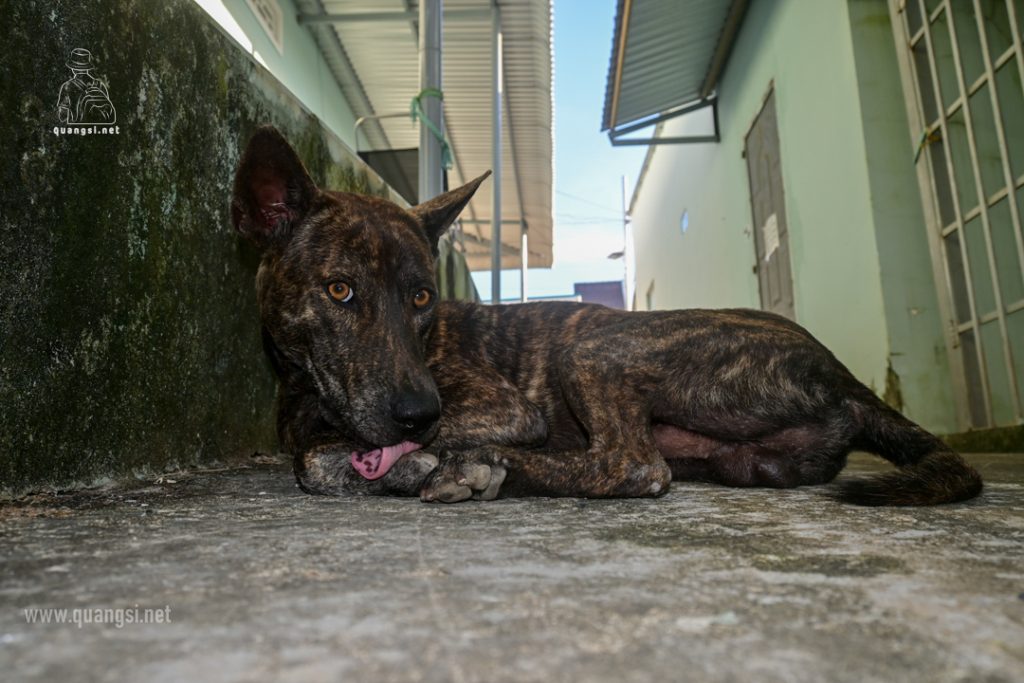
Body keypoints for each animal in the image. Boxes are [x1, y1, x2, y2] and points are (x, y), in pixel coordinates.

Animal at [232, 126, 983, 507]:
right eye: (339, 290)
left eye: (421, 298)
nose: (419, 414)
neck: (306, 390)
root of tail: (843, 373)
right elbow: (320, 457)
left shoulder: (505, 407)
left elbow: (324, 460)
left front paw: (411, 461)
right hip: (749, 462)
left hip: (594, 350)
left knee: (634, 465)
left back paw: (484, 467)